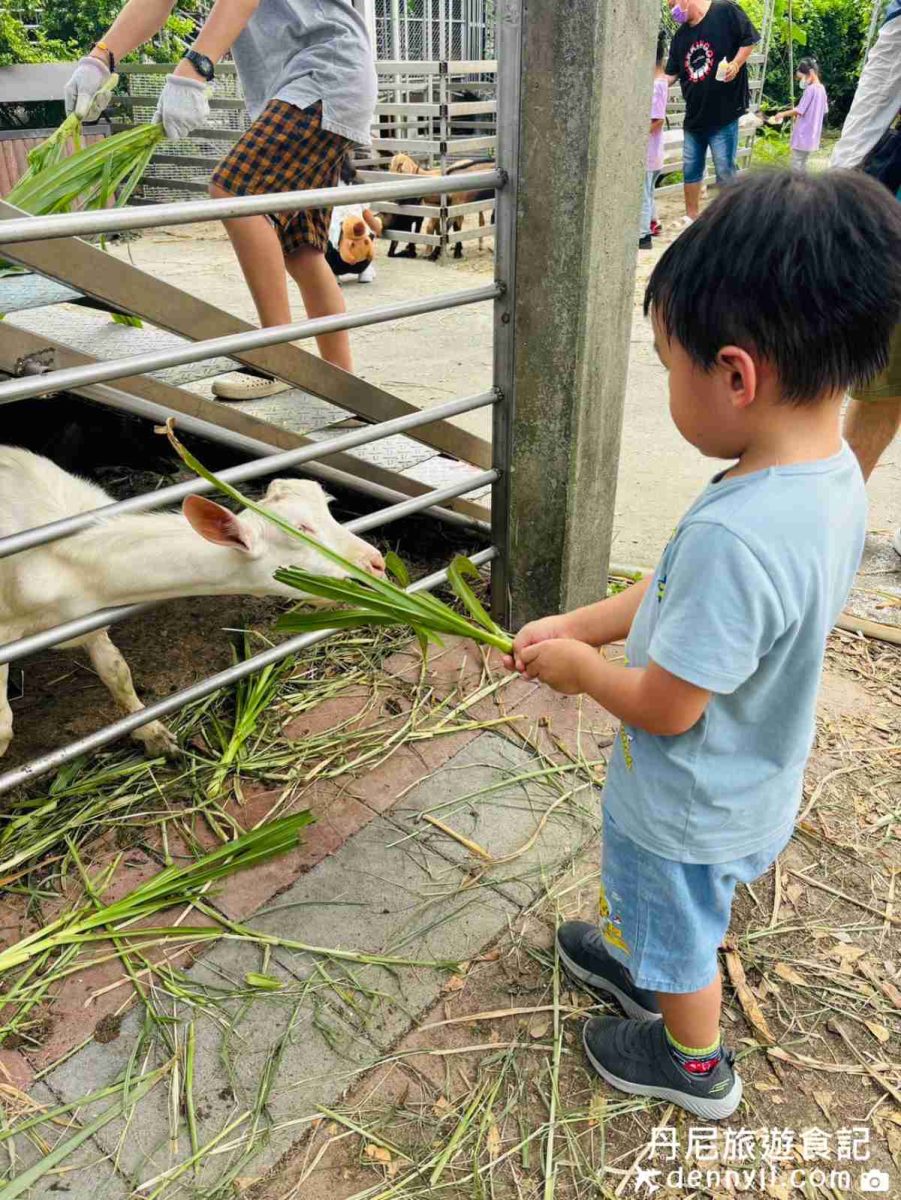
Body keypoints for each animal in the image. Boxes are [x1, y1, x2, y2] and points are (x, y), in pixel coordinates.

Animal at [0, 446, 388, 753]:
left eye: (329, 509)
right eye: (300, 531)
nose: (377, 563)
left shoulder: (89, 619)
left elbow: (118, 673)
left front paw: (154, 735)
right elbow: (4, 725)